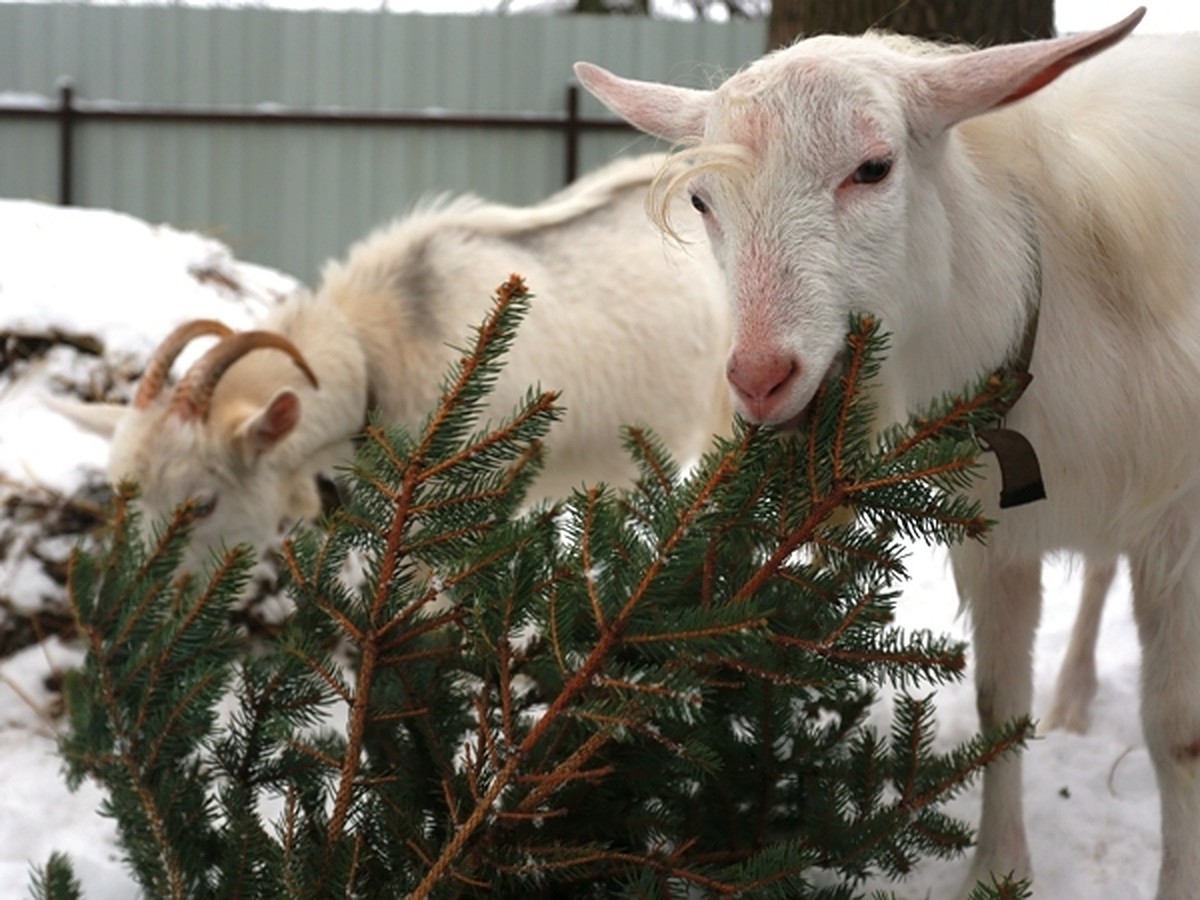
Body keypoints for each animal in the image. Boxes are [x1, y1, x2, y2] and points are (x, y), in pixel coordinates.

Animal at [573, 10, 1200, 897]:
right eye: (701, 199)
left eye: (873, 168)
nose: (760, 379)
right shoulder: (996, 536)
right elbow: (999, 706)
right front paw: (995, 870)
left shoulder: (1179, 520)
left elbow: (1177, 729)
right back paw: (1075, 696)